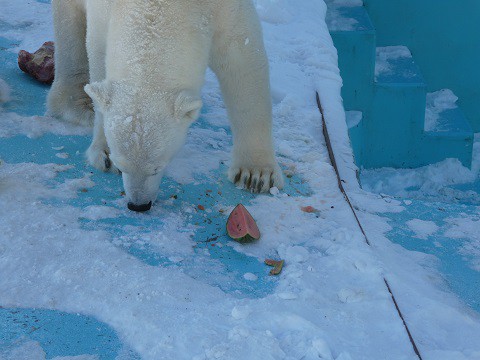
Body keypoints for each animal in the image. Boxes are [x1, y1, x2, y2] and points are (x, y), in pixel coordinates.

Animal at [47, 0, 284, 211]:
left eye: (157, 167)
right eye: (121, 165)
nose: (138, 205)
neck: (161, 6)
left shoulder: (225, 10)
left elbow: (242, 62)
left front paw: (255, 174)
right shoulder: (103, 12)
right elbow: (98, 55)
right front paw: (103, 152)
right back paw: (78, 104)